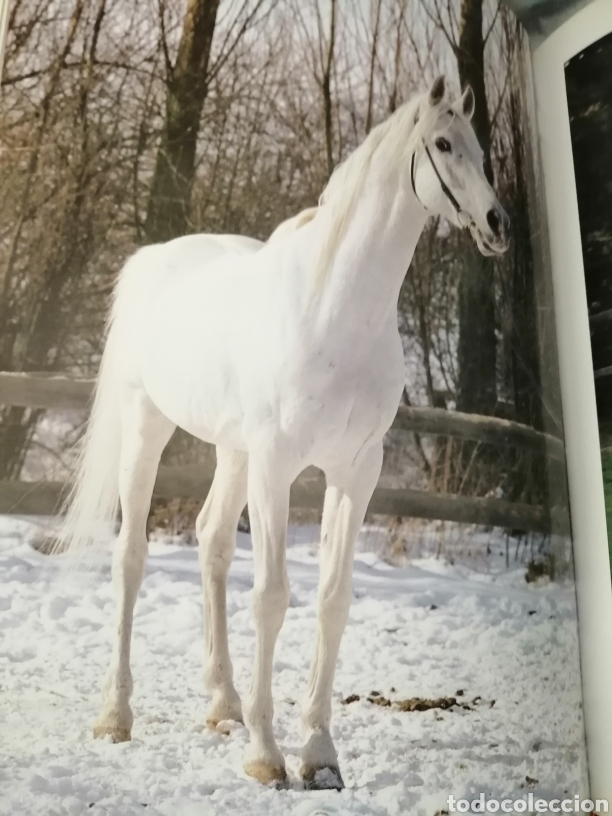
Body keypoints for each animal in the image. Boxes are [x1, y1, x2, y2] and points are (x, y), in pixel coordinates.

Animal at [59, 75, 509, 790]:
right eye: (442, 144)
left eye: (481, 148)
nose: (497, 224)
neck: (336, 311)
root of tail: (152, 259)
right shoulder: (277, 465)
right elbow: (272, 597)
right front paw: (268, 757)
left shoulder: (356, 471)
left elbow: (332, 599)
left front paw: (320, 755)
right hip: (147, 427)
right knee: (129, 558)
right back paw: (116, 717)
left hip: (232, 451)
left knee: (212, 542)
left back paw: (223, 706)